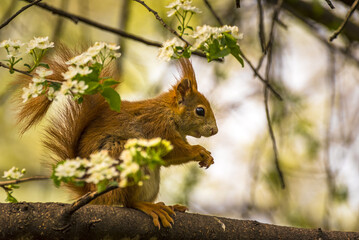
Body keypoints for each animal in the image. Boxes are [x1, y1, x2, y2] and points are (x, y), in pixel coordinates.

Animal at [15, 45, 218, 229]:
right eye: (200, 111)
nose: (215, 131)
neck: (168, 112)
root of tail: (91, 190)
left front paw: (207, 156)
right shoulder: (157, 128)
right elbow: (171, 153)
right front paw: (199, 151)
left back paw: (168, 206)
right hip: (121, 158)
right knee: (129, 202)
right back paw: (149, 207)